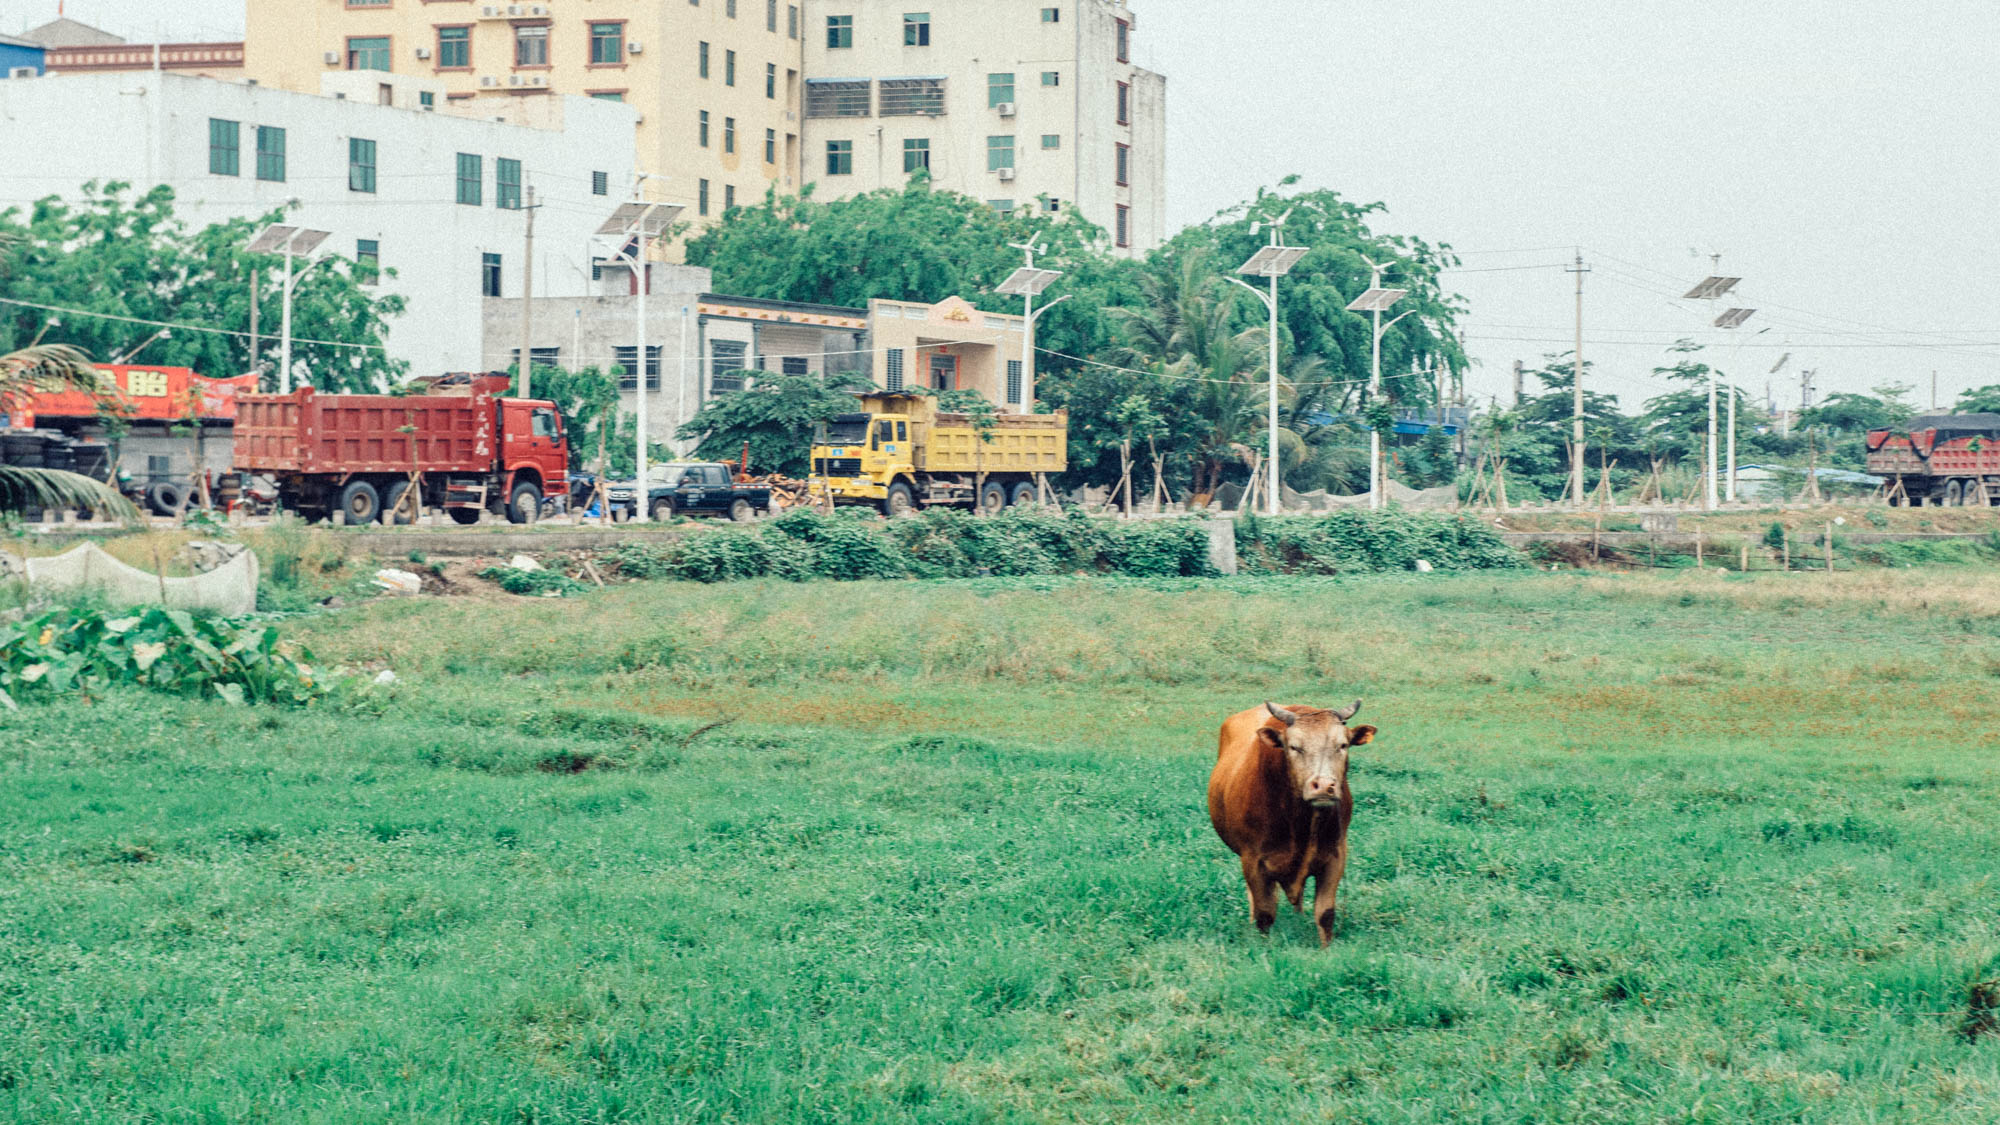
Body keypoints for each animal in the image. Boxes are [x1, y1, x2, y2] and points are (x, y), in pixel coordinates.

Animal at [1200, 696, 1376, 940]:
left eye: (1342, 745)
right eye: (1294, 746)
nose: (1324, 786)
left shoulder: (1336, 854)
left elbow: (1325, 913)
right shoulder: (1252, 860)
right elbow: (1264, 913)